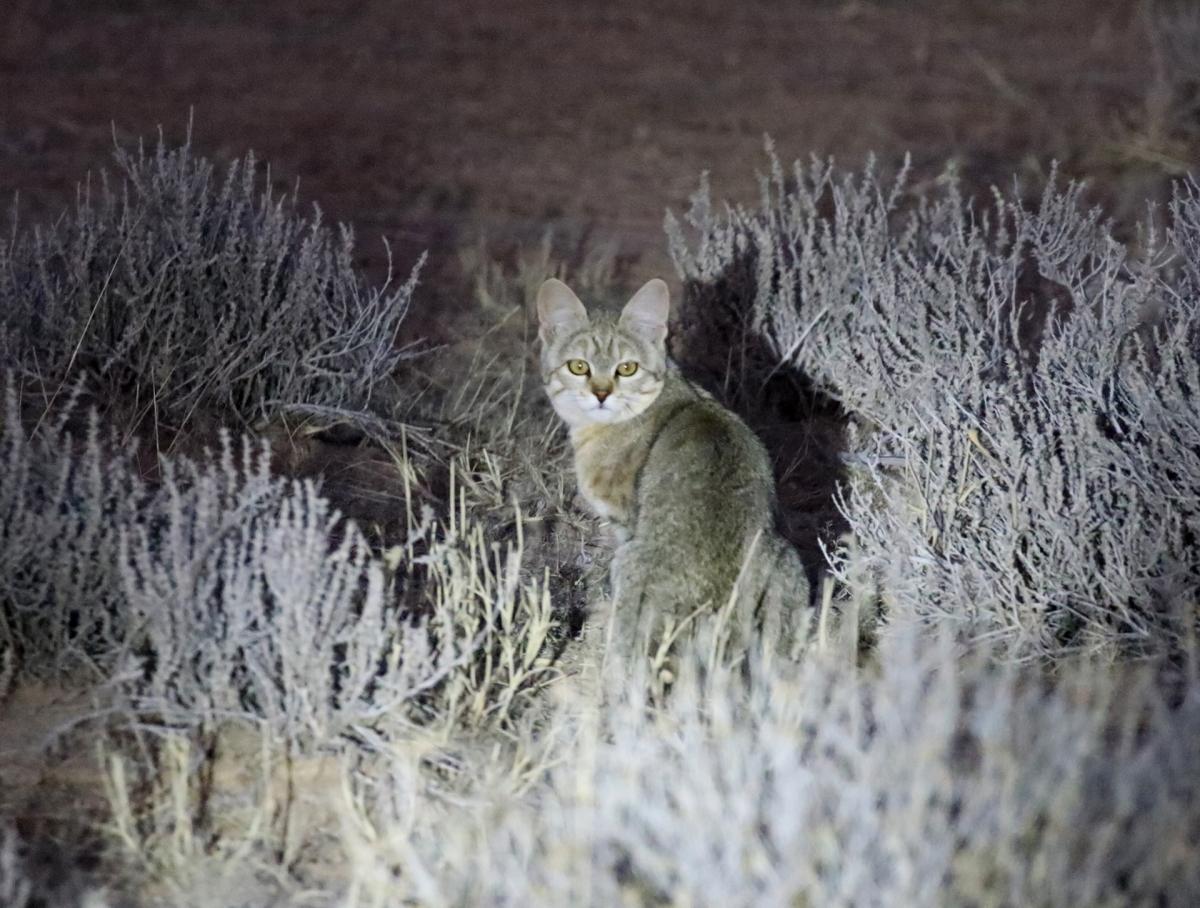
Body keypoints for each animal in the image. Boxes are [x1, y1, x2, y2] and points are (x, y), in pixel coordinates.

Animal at [540, 278, 811, 666]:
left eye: (627, 368)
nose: (601, 394)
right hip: (789, 564)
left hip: (629, 569)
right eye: (579, 366)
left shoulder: (624, 524)